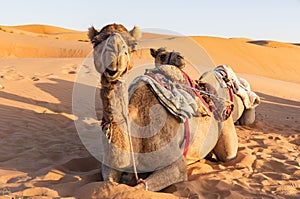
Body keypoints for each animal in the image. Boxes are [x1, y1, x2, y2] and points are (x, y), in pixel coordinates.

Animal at [88, 23, 256, 191]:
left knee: (229, 152)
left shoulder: (176, 164)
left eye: (132, 45)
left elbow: (139, 187)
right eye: (95, 42)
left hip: (226, 128)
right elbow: (109, 182)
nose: (114, 62)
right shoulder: (109, 165)